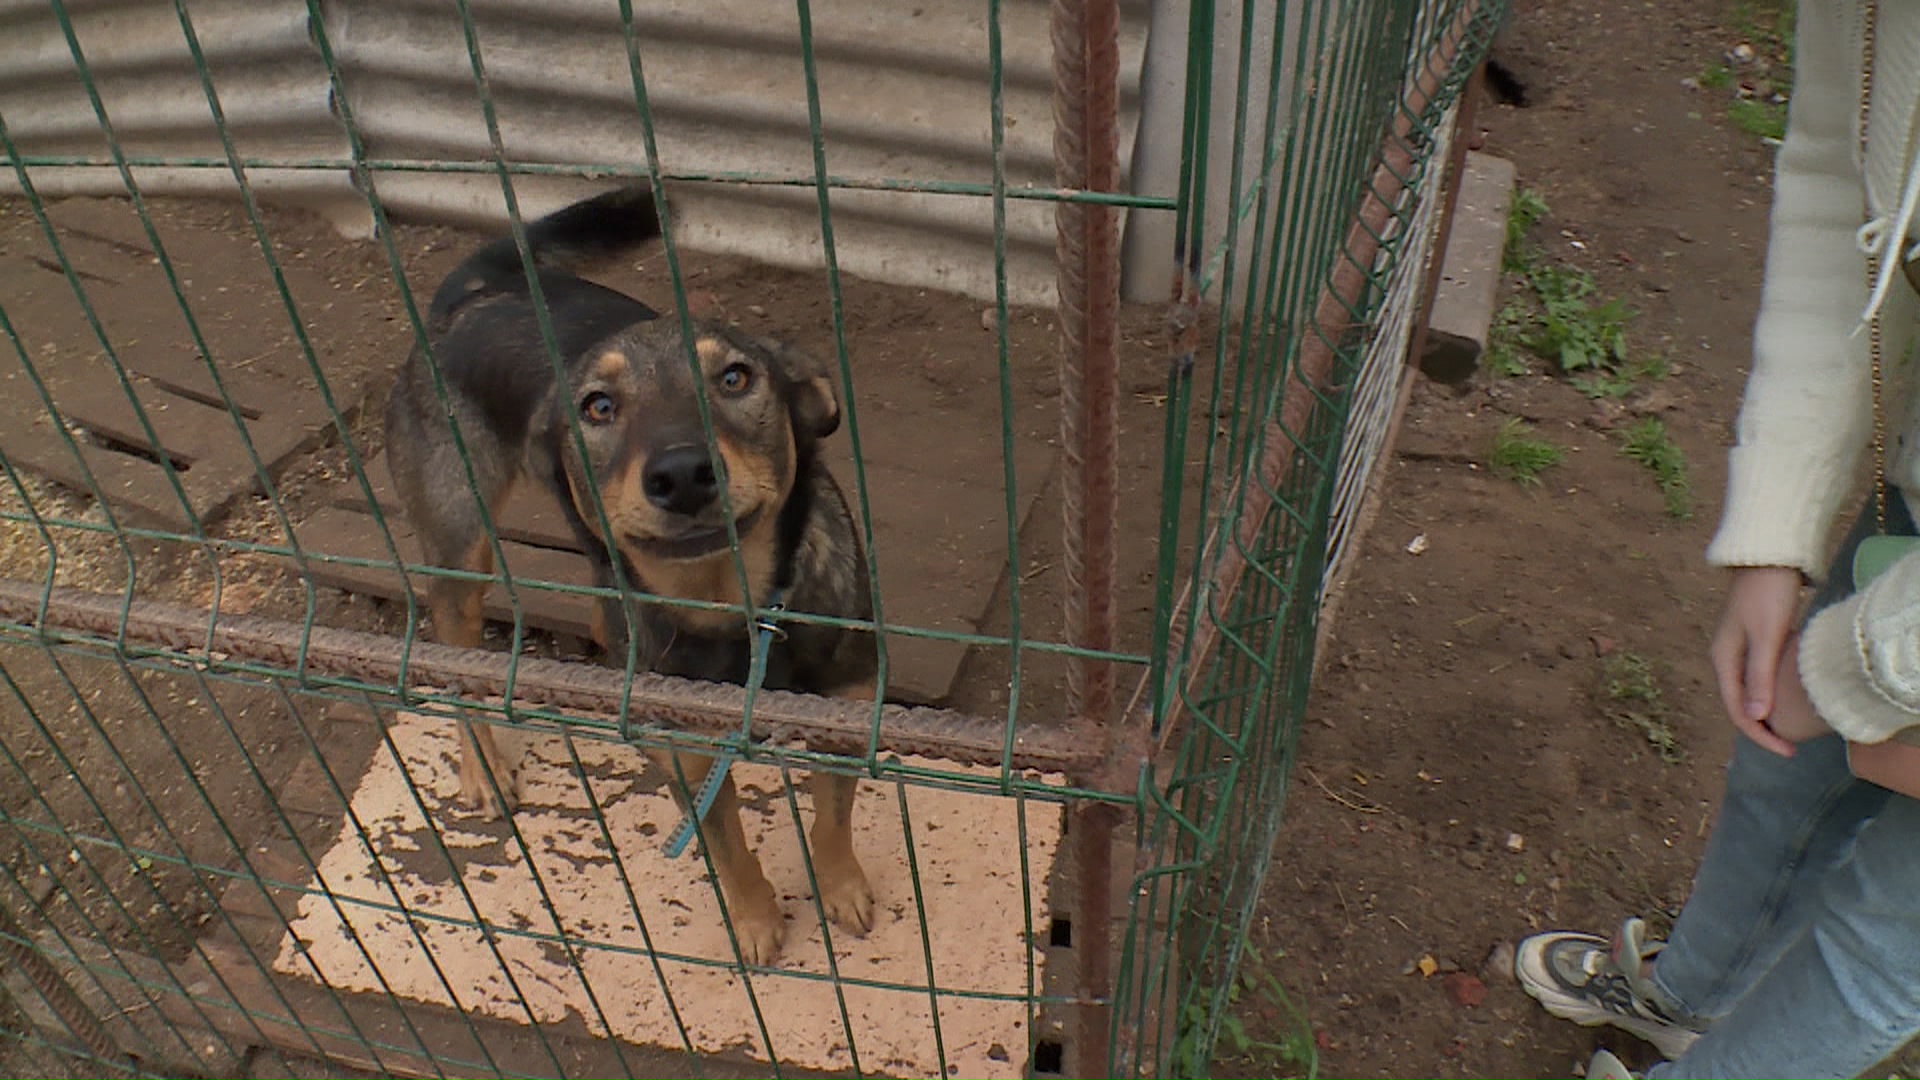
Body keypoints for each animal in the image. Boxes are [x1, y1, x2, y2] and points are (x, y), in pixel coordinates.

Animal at [385, 182, 879, 957]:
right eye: (599, 406)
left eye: (735, 377)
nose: (681, 473)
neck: (726, 612)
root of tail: (472, 297)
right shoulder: (686, 757)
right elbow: (728, 849)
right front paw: (755, 922)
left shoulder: (848, 711)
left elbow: (831, 818)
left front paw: (842, 889)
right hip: (463, 551)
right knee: (452, 652)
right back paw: (482, 766)